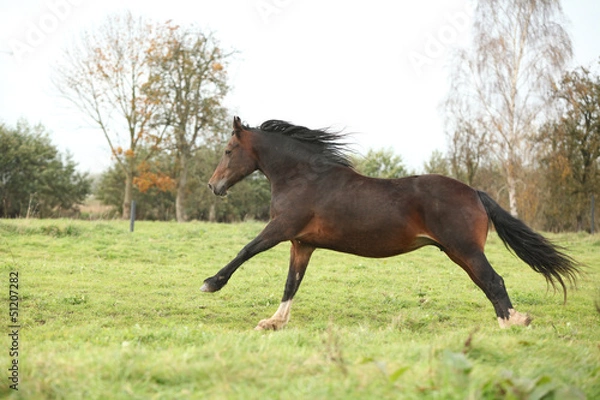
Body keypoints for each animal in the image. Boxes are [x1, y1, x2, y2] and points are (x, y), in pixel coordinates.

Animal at [204, 117, 580, 330]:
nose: (213, 186)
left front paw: (210, 284)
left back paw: (513, 323)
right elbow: (291, 283)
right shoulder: (302, 243)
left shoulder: (280, 229)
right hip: (457, 252)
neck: (304, 178)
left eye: (227, 150)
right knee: (487, 283)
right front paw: (274, 322)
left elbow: (246, 250)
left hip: (464, 249)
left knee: (494, 281)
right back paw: (511, 320)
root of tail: (474, 191)